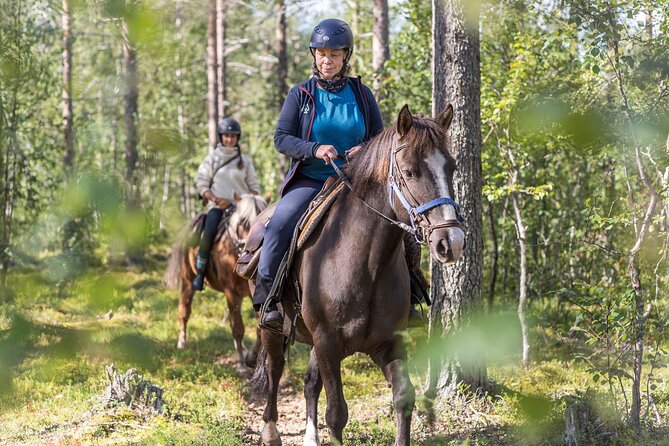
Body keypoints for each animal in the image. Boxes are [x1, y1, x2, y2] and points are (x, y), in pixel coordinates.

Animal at [164, 193, 268, 367]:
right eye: (243, 222)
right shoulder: (231, 293)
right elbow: (238, 328)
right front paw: (242, 361)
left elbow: (260, 329)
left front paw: (251, 357)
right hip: (187, 281)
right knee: (184, 311)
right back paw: (182, 343)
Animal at [252, 104, 465, 446]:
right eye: (409, 172)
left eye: (452, 168)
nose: (451, 241)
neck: (366, 266)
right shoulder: (327, 344)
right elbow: (336, 413)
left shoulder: (387, 343)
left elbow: (403, 398)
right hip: (274, 330)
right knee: (274, 370)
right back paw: (271, 432)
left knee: (310, 383)